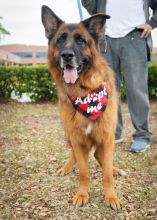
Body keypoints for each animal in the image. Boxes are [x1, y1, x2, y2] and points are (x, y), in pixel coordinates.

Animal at [41, 4, 124, 208]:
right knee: (76, 155)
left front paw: (111, 196)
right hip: (68, 135)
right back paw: (66, 167)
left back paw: (115, 168)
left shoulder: (107, 137)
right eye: (60, 40)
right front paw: (82, 194)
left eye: (80, 40)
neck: (85, 93)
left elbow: (106, 174)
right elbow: (83, 172)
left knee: (101, 159)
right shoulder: (77, 139)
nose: (67, 55)